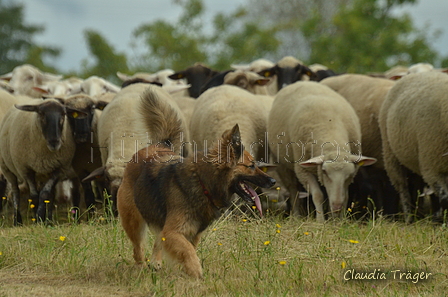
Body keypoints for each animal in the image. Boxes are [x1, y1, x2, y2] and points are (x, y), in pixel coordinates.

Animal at [115, 88, 276, 278]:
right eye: (251, 166)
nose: (273, 181)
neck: (202, 183)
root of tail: (158, 144)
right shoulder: (173, 231)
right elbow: (188, 252)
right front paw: (196, 273)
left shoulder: (191, 233)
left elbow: (187, 250)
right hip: (133, 219)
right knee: (138, 248)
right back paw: (140, 268)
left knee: (156, 241)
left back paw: (155, 262)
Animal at [268, 80, 376, 220]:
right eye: (324, 171)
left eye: (349, 174)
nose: (337, 206)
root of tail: (303, 81)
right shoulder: (302, 170)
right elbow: (317, 195)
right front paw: (320, 221)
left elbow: (345, 196)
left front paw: (338, 220)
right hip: (282, 165)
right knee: (293, 191)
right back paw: (296, 216)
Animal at [380, 70, 448, 221]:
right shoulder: (433, 167)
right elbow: (445, 197)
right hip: (391, 153)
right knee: (403, 188)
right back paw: (409, 218)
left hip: (414, 157)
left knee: (415, 187)